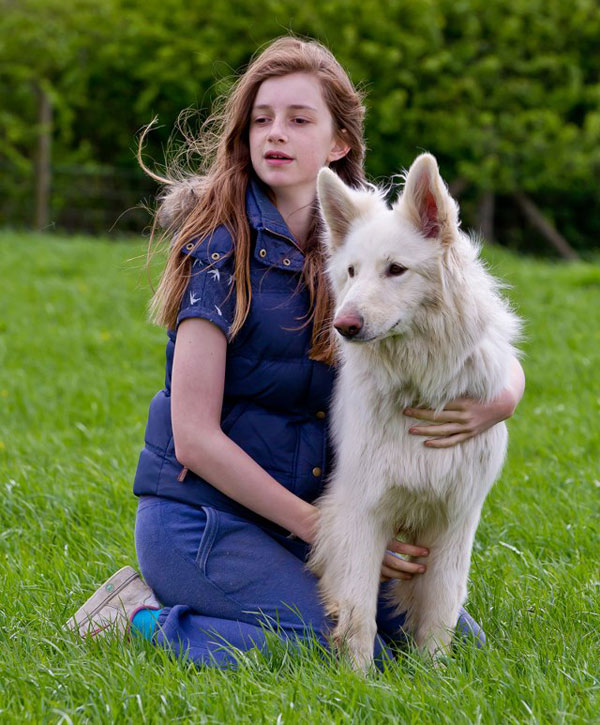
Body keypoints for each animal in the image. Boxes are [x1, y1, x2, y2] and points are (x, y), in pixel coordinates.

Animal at [310, 156, 520, 672]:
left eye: (396, 270)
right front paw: (357, 680)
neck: (419, 389)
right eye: (351, 271)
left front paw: (435, 673)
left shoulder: (456, 517)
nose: (344, 326)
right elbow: (359, 613)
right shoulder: (362, 512)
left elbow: (441, 606)